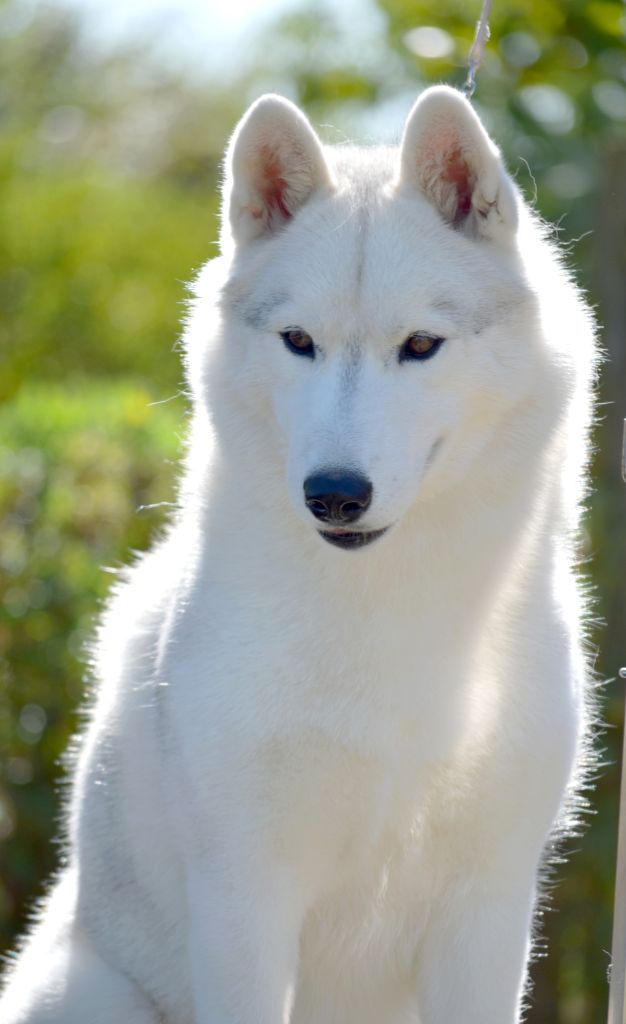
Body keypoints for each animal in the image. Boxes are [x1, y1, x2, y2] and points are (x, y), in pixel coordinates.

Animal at [0, 88, 598, 1024]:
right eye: (298, 341)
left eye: (420, 345)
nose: (335, 494)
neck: (384, 617)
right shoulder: (244, 900)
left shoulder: (488, 910)